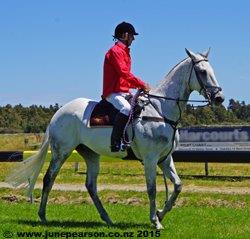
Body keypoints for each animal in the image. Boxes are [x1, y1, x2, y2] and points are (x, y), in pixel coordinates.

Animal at [5, 49, 225, 230]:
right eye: (202, 71)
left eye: (211, 70)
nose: (219, 98)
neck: (160, 109)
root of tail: (58, 113)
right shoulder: (151, 159)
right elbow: (152, 189)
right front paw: (155, 221)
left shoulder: (165, 158)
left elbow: (178, 186)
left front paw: (161, 214)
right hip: (62, 152)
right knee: (49, 178)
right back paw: (42, 216)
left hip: (91, 154)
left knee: (91, 186)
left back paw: (107, 219)